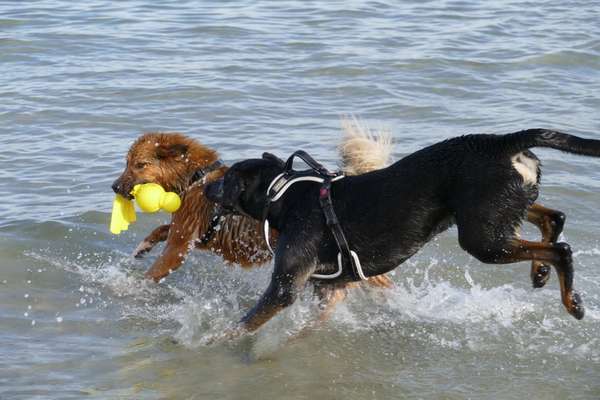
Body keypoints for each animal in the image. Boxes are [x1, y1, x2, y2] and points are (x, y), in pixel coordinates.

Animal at [112, 119, 394, 310]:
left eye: (139, 165)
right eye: (127, 163)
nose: (114, 187)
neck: (196, 177)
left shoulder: (179, 247)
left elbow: (153, 272)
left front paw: (128, 287)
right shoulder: (189, 234)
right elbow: (160, 230)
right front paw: (143, 247)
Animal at [206, 130, 600, 332]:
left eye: (225, 180)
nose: (206, 184)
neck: (283, 194)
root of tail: (502, 142)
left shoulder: (285, 287)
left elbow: (242, 326)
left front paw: (216, 344)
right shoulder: (329, 287)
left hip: (482, 237)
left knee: (561, 249)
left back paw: (572, 301)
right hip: (496, 212)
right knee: (553, 219)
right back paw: (540, 273)